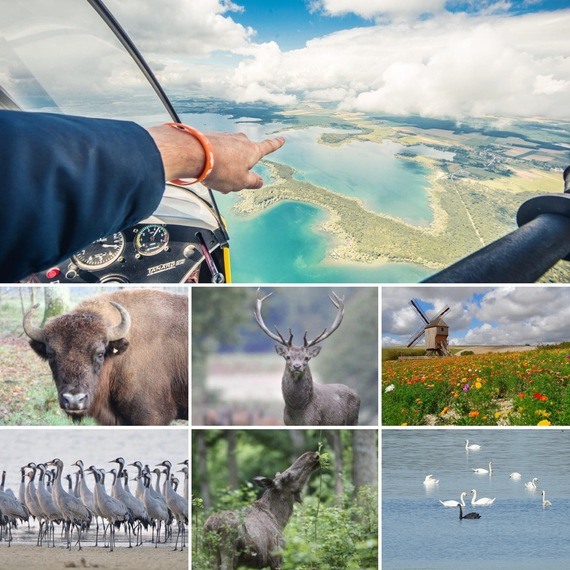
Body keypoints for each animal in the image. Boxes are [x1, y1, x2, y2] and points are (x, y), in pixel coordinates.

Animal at [254, 290, 360, 424]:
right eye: (287, 356)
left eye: (306, 357)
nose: (297, 366)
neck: (297, 409)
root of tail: (357, 395)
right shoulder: (286, 422)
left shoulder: (314, 422)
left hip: (353, 420)